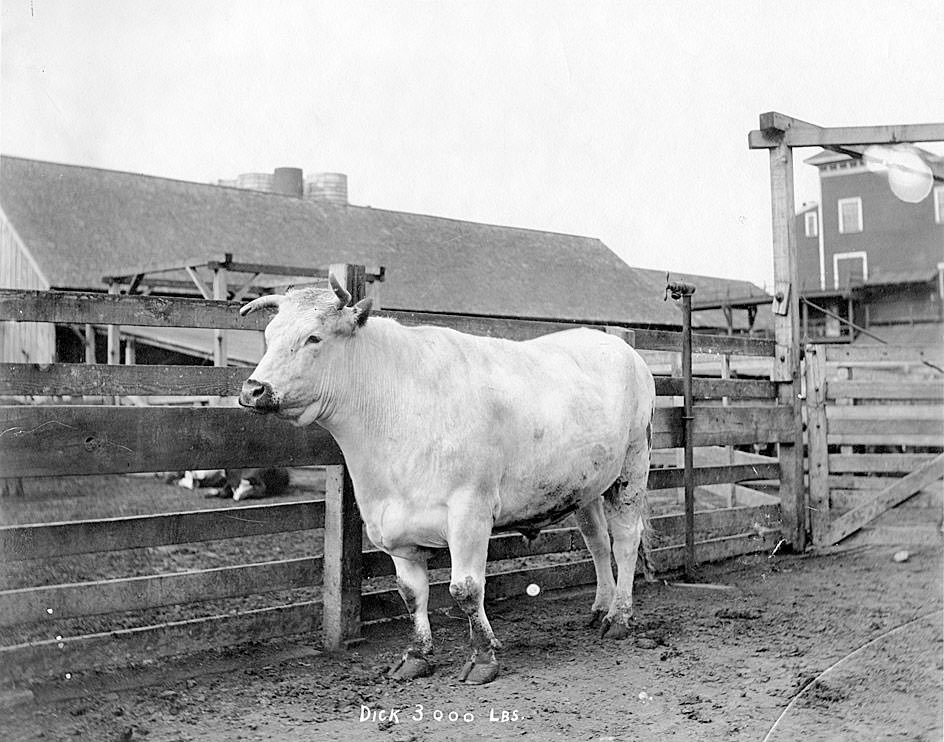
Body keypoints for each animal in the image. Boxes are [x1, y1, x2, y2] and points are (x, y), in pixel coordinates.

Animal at [240, 280, 652, 684]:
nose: (253, 389)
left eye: (313, 337)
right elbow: (411, 594)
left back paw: (619, 617)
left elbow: (465, 589)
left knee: (625, 540)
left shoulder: (470, 512)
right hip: (587, 487)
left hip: (633, 465)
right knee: (597, 542)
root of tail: (620, 347)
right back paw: (601, 607)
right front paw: (416, 655)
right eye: (269, 335)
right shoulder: (393, 526)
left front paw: (483, 657)